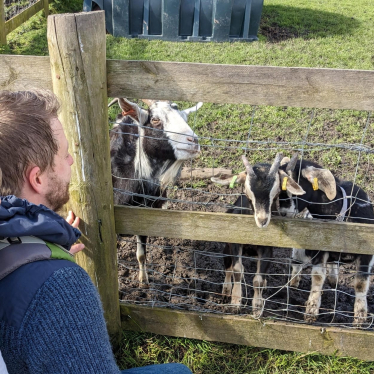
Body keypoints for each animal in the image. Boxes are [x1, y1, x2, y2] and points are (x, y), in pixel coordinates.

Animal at [109, 98, 203, 282]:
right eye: (155, 119)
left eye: (185, 118)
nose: (193, 142)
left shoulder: (144, 215)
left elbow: (141, 255)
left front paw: (144, 281)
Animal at [280, 156, 374, 326]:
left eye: (294, 187)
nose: (282, 213)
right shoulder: (319, 247)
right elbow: (317, 277)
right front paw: (311, 312)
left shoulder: (367, 253)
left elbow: (360, 283)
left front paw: (360, 318)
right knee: (297, 262)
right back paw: (293, 284)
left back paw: (333, 280)